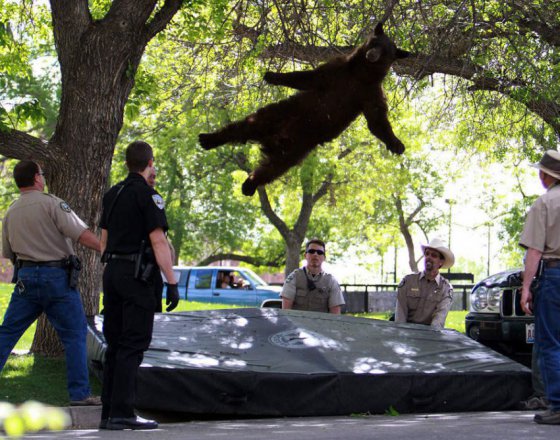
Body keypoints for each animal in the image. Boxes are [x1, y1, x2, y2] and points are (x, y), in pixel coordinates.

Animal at [199, 22, 410, 196]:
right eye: (375, 42)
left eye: (386, 52)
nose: (372, 54)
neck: (361, 73)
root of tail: (274, 139)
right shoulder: (337, 71)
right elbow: (308, 77)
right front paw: (272, 75)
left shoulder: (369, 92)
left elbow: (377, 120)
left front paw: (396, 144)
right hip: (279, 114)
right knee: (244, 127)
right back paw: (209, 138)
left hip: (296, 149)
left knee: (272, 169)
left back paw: (249, 185)